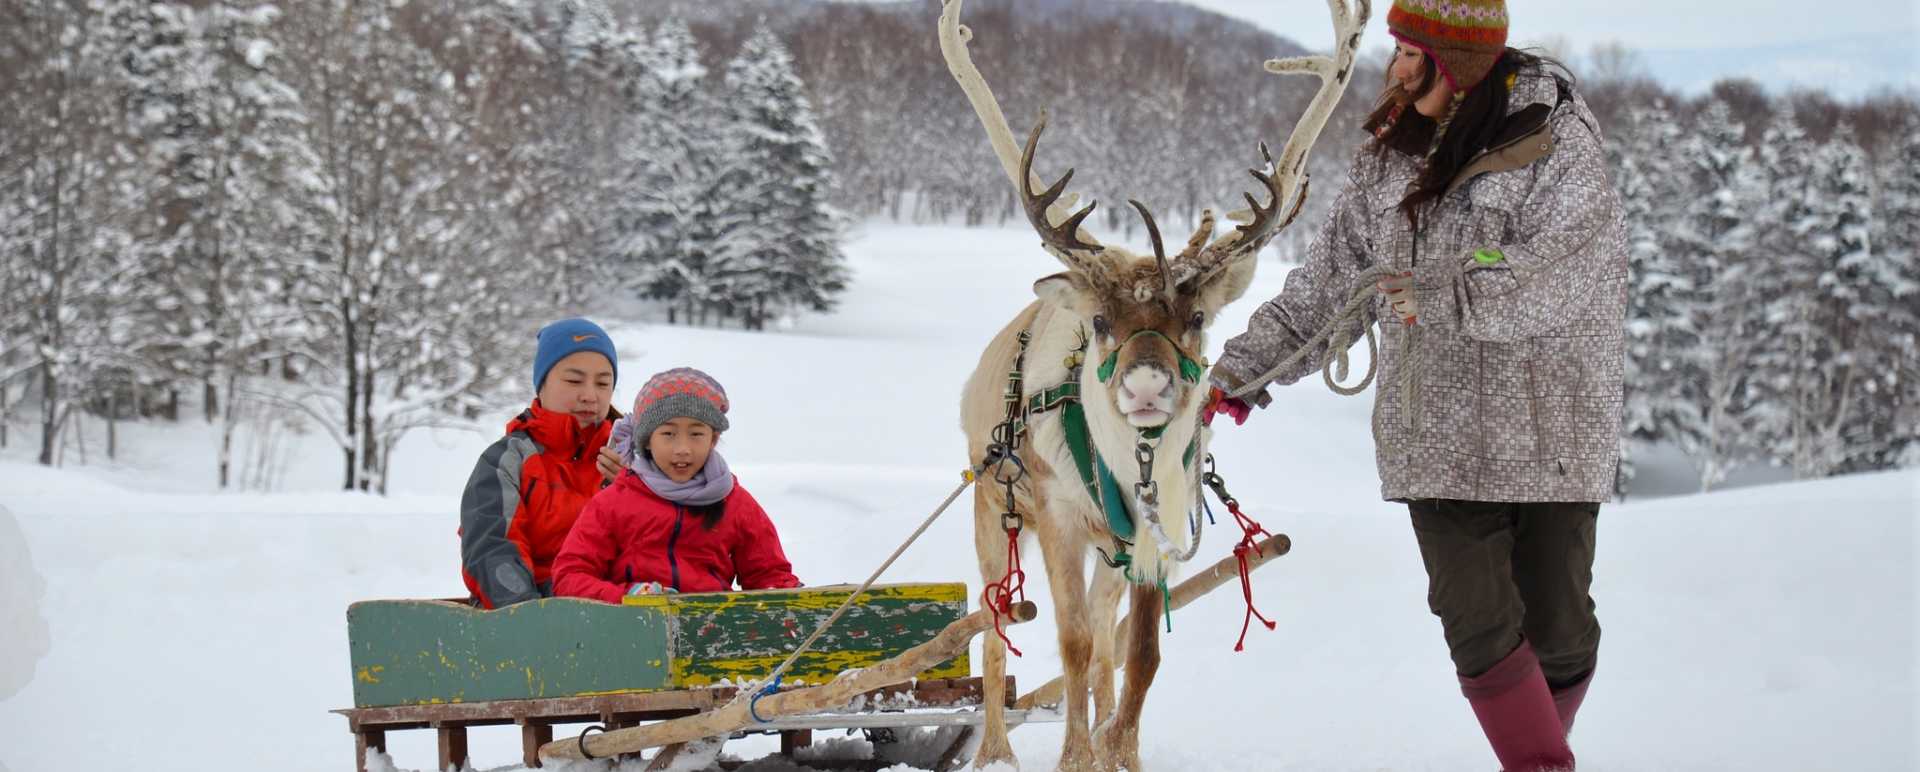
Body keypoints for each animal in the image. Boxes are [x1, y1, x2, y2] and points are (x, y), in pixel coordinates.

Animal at [940, 0, 1370, 769]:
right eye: (1102, 320)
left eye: (1196, 316)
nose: (1145, 388)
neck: (1128, 463)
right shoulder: (1058, 514)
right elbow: (1073, 643)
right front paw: (1076, 756)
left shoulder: (1156, 527)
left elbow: (1137, 655)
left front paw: (1120, 749)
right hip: (992, 508)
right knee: (993, 629)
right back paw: (995, 748)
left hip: (1105, 551)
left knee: (1104, 635)